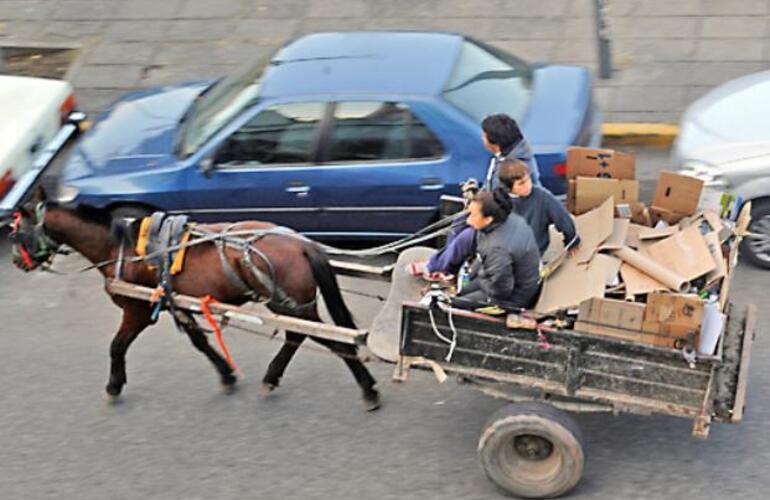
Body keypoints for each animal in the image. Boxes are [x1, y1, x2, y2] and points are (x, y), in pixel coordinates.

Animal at [6, 193, 378, 408]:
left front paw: (113, 385)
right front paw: (226, 375)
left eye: (16, 230)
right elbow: (199, 341)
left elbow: (117, 346)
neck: (120, 247)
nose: (16, 262)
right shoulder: (176, 302)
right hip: (290, 306)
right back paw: (272, 377)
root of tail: (302, 244)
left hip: (290, 305)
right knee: (297, 335)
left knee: (327, 338)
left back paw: (368, 388)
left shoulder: (137, 309)